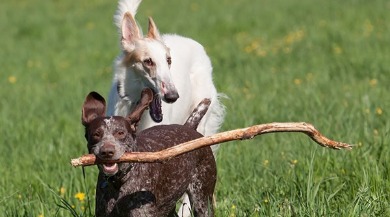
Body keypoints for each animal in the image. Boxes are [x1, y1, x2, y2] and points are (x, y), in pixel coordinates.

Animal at [81, 88, 218, 217]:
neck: (119, 182)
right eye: (96, 134)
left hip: (202, 201)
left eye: (120, 133)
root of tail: (189, 128)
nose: (107, 151)